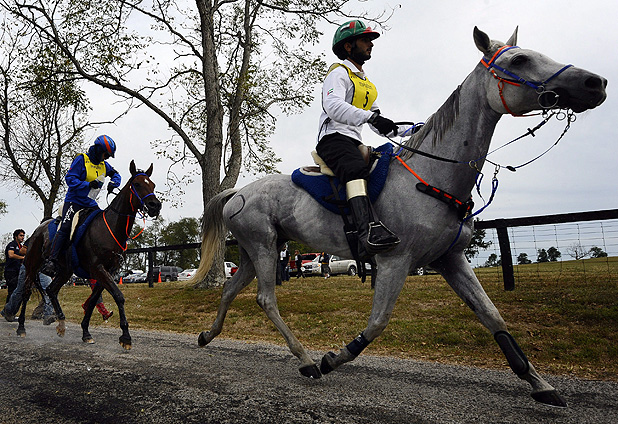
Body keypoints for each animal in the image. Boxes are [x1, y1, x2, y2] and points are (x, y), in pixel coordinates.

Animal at [16, 160, 162, 349]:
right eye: (137, 184)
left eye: (152, 185)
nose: (155, 206)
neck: (108, 228)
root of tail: (37, 230)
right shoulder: (98, 268)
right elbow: (118, 296)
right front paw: (125, 336)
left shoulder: (108, 271)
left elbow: (93, 300)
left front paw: (86, 332)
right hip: (32, 265)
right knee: (26, 293)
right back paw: (21, 327)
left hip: (65, 271)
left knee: (51, 290)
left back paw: (61, 324)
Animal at [189, 27, 607, 406]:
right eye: (519, 60)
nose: (595, 82)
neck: (430, 176)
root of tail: (238, 192)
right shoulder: (395, 260)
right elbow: (377, 323)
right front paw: (331, 359)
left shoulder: (451, 260)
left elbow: (494, 318)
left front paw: (540, 384)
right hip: (262, 248)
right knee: (266, 299)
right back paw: (306, 360)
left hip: (255, 250)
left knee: (230, 288)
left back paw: (208, 335)